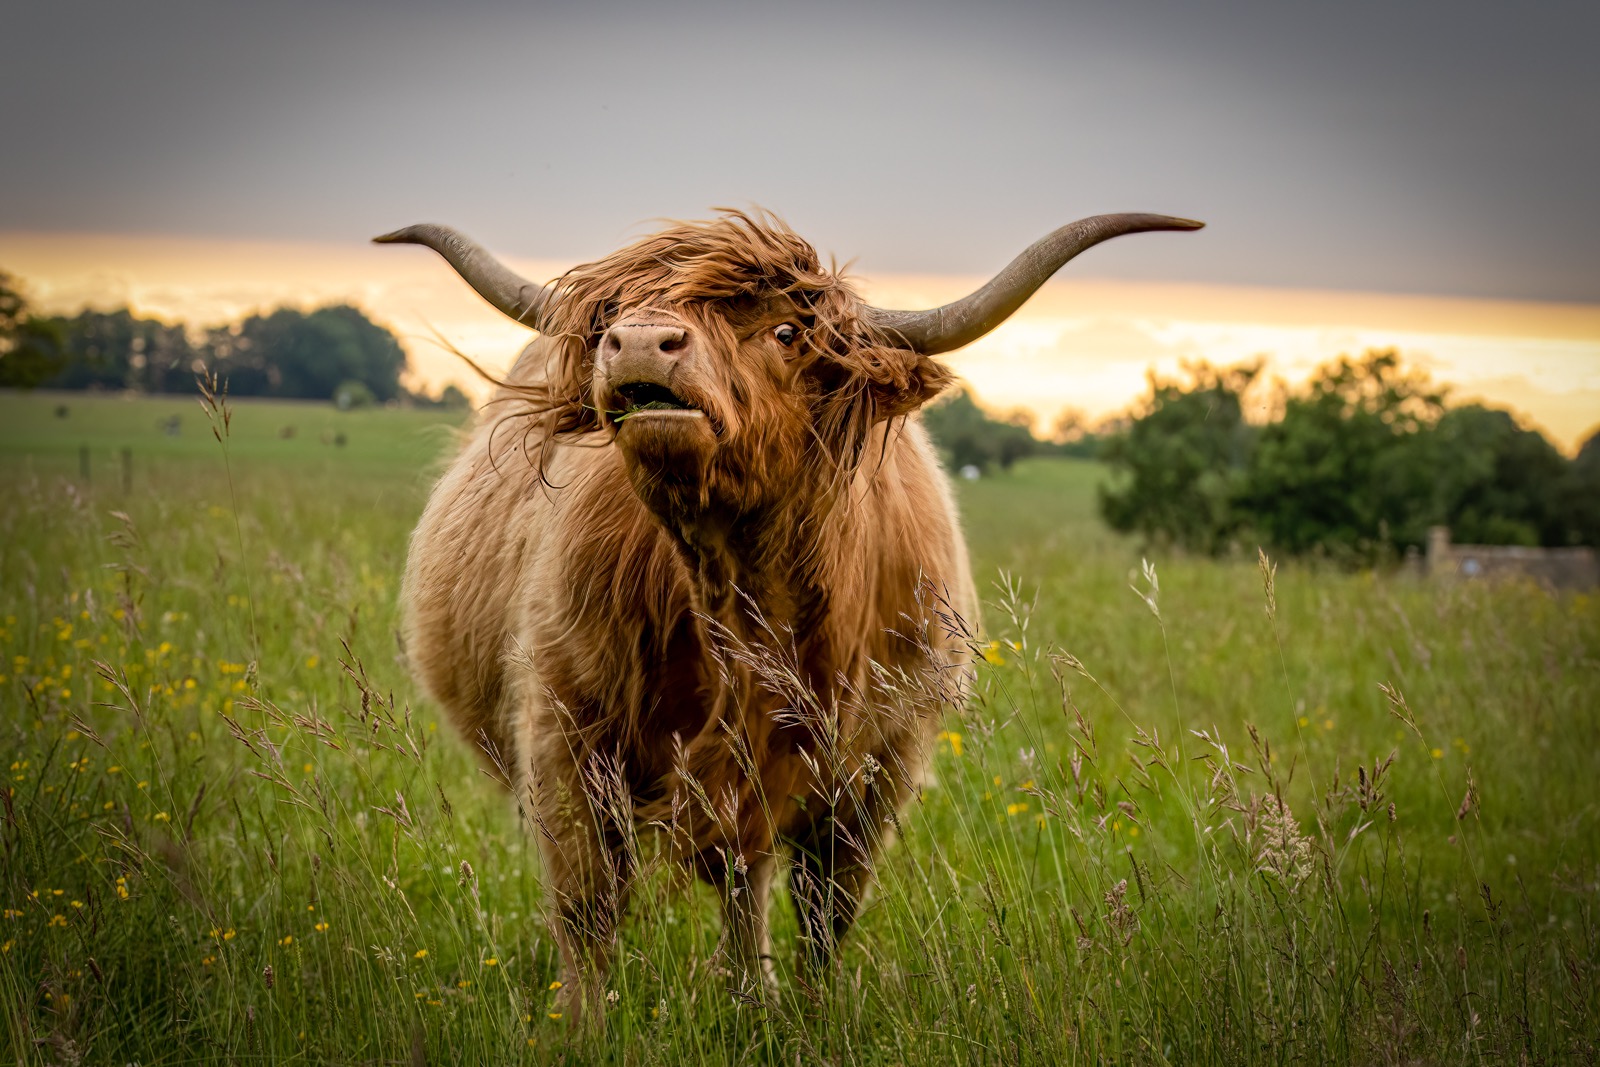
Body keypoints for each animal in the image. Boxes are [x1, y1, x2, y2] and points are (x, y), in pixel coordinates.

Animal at [377, 209, 1201, 1024]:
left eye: (785, 331)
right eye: (611, 319)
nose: (639, 341)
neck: (751, 611)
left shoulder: (880, 764)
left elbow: (825, 907)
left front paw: (807, 1015)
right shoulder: (566, 733)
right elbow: (588, 905)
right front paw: (586, 1028)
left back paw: (752, 994)